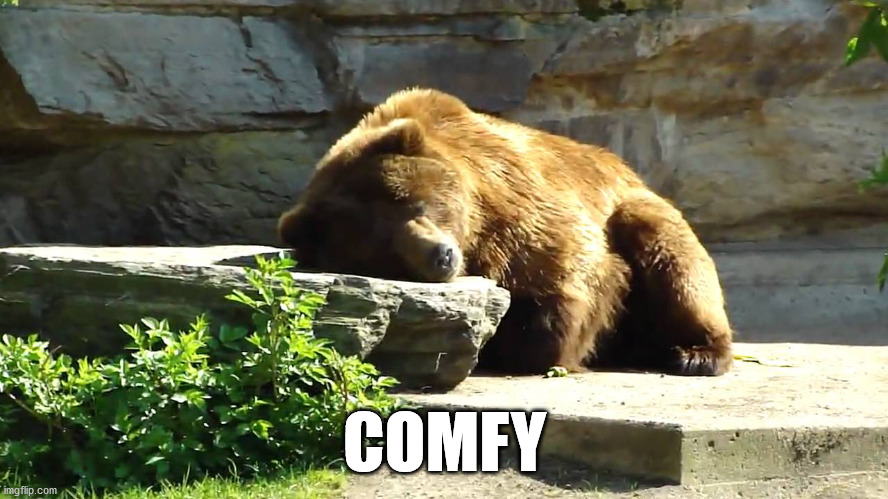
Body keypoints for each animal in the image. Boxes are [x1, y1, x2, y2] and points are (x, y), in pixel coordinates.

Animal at [277, 87, 734, 377]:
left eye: (415, 204)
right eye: (382, 248)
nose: (440, 255)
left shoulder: (519, 204)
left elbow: (565, 284)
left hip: (637, 206)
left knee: (670, 253)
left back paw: (695, 355)